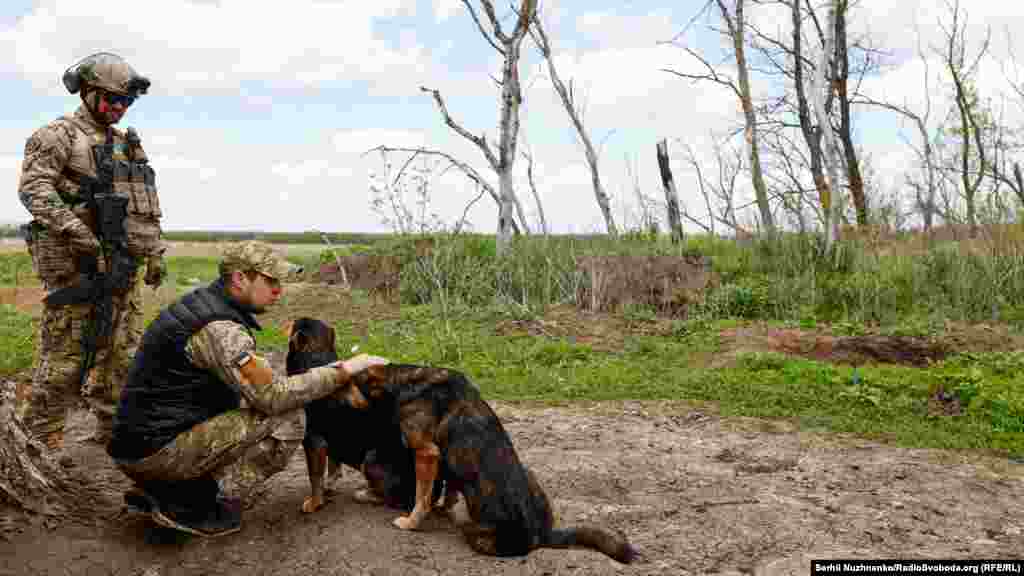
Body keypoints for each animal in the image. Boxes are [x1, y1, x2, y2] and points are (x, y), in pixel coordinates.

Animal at [284, 317, 436, 510]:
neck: (316, 356)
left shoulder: (313, 441)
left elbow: (314, 478)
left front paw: (314, 503)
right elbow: (333, 468)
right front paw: (329, 487)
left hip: (369, 461)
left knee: (393, 500)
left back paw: (367, 494)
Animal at [335, 362, 634, 561]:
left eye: (347, 384)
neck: (402, 382)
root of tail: (541, 534)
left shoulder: (426, 453)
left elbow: (422, 497)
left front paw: (411, 523)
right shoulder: (445, 460)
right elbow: (449, 489)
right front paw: (442, 507)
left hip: (473, 529)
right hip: (530, 472)